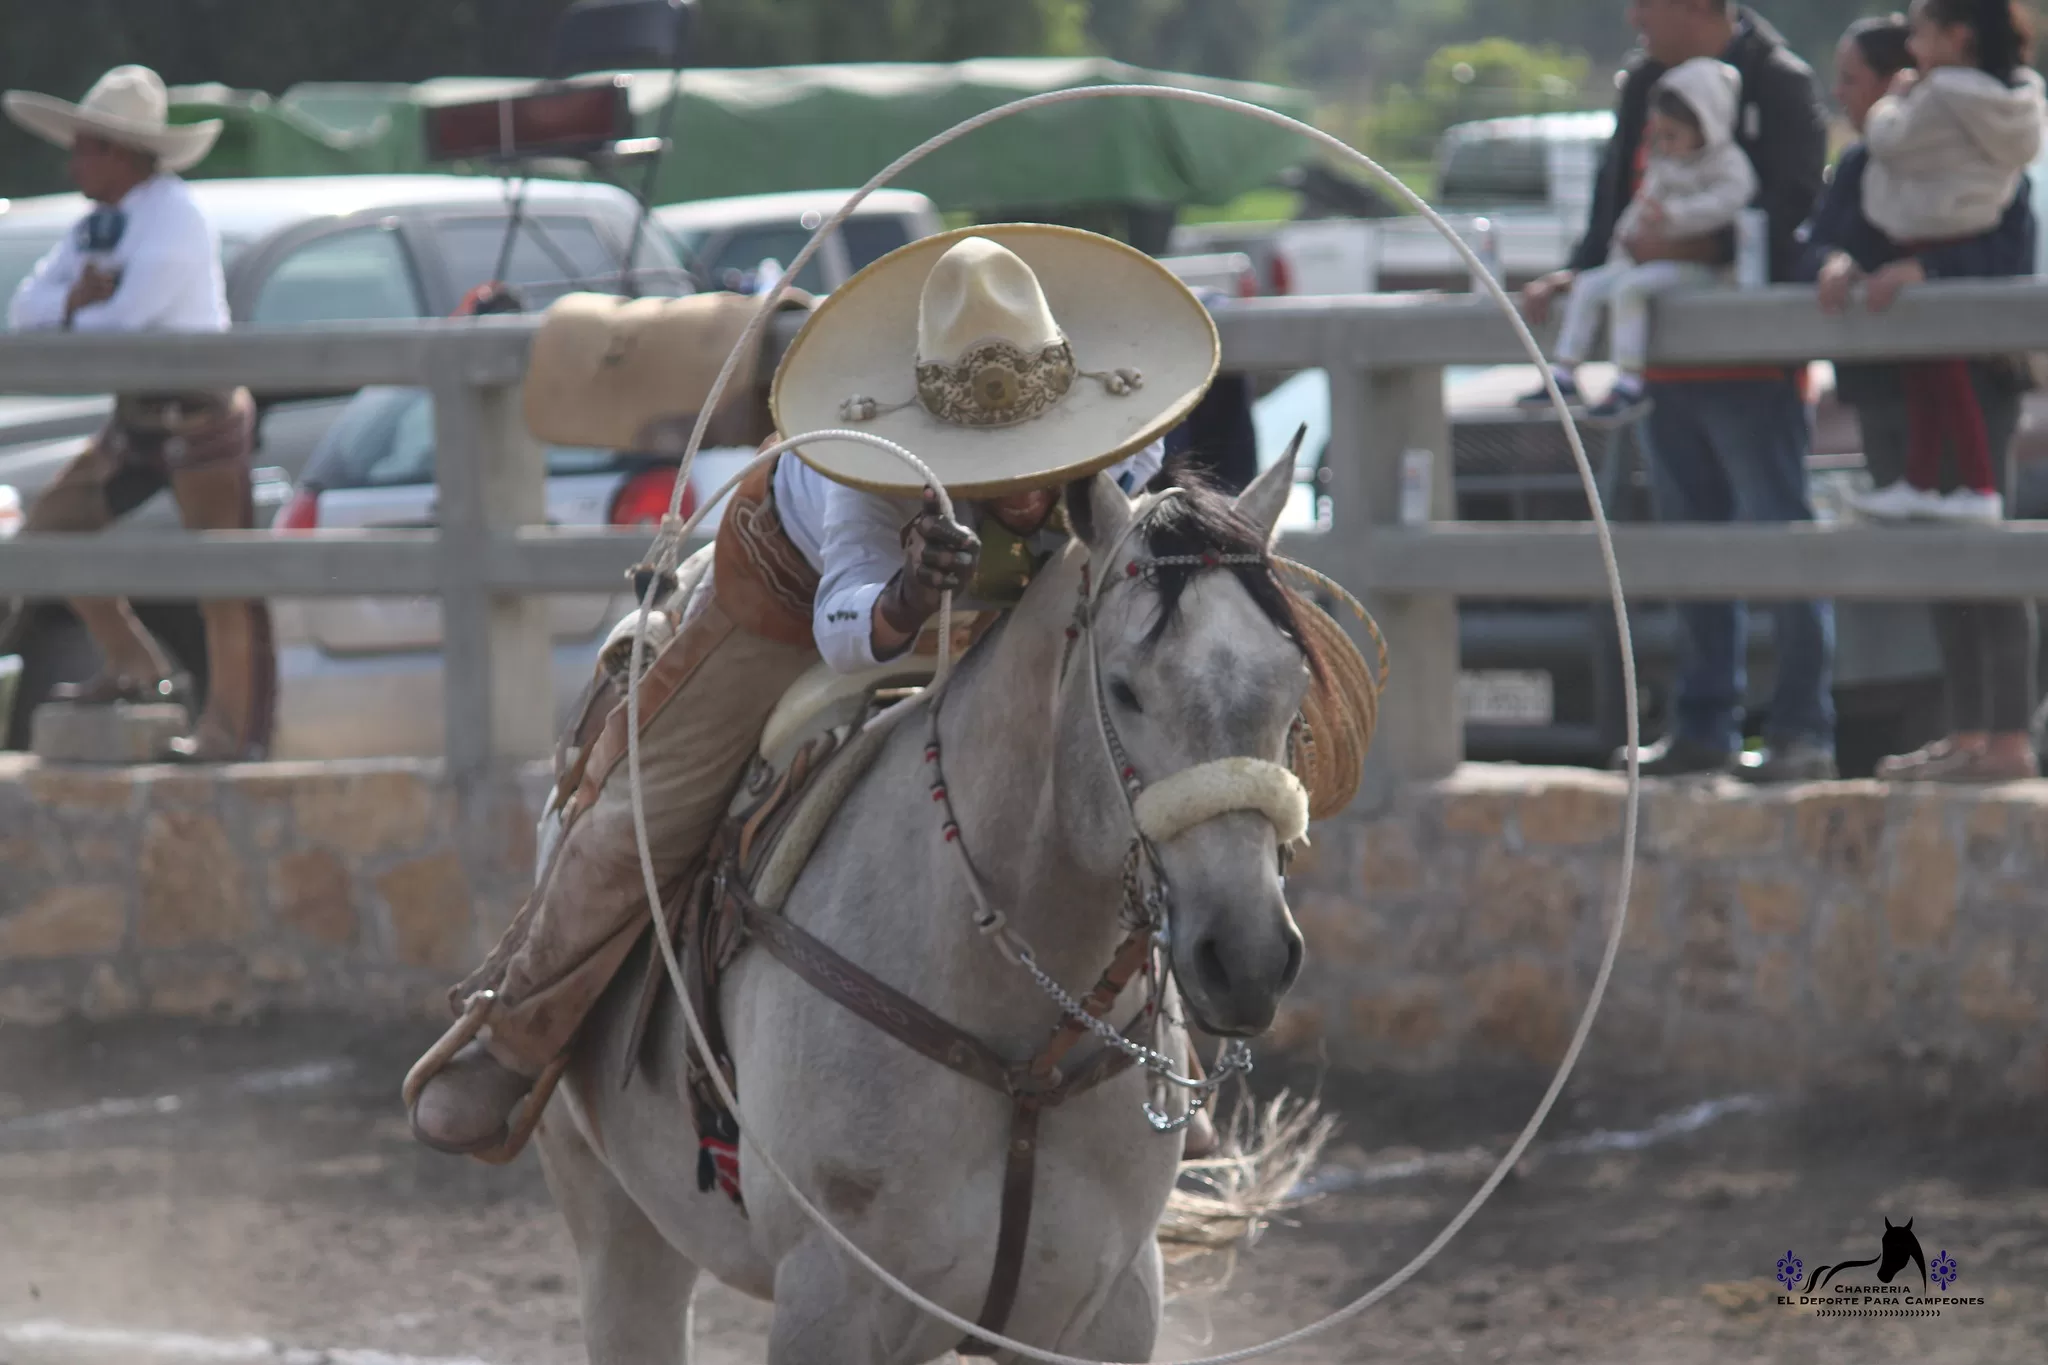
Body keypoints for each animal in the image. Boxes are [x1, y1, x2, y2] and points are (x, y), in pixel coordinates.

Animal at [533, 449, 1315, 1365]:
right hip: (619, 1231)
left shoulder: (1111, 1305)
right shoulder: (828, 1299)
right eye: (1124, 689)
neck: (1019, 1046)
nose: (1249, 956)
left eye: (1292, 683)